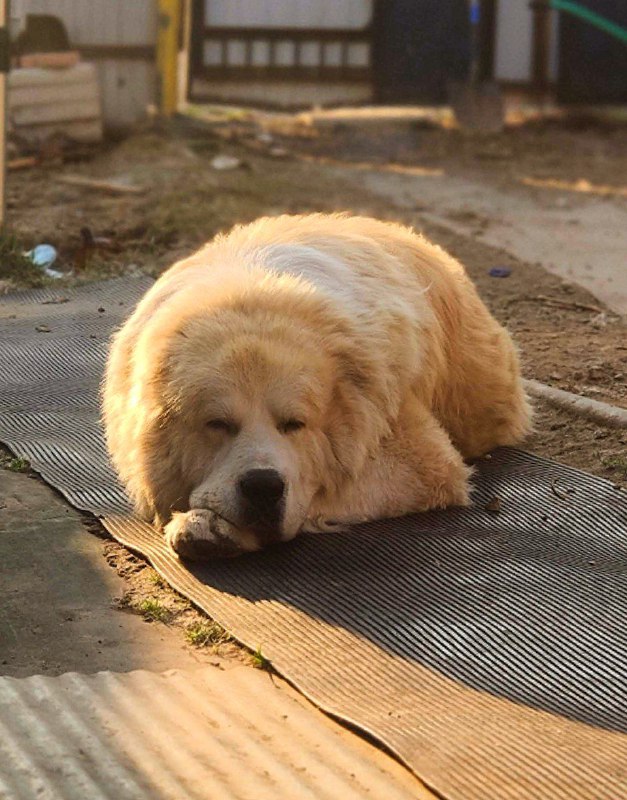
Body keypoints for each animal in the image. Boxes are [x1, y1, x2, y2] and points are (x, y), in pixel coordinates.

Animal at [104, 216, 528, 560]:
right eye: (218, 424)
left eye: (294, 424)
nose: (262, 486)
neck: (251, 292)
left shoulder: (423, 460)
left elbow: (324, 489)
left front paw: (211, 527)